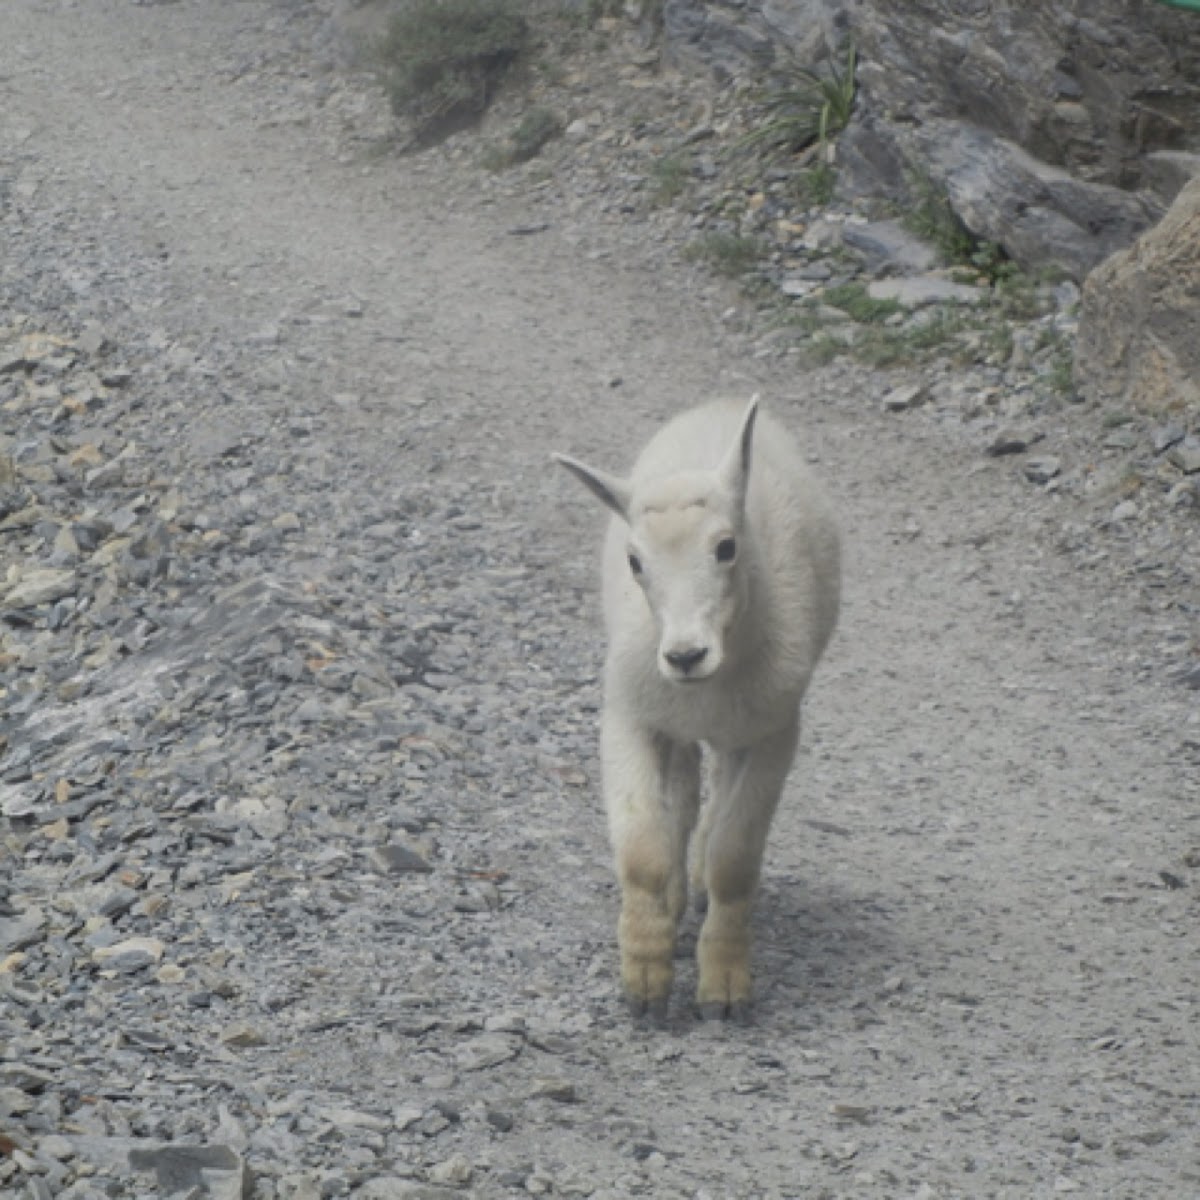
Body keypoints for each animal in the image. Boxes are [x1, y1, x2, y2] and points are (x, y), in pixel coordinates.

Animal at [556, 398, 840, 1017]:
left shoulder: (773, 732)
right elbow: (642, 849)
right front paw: (644, 975)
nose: (686, 655)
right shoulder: (632, 716)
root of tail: (721, 406)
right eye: (635, 561)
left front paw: (725, 988)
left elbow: (735, 860)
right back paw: (673, 902)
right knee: (682, 799)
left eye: (726, 547)